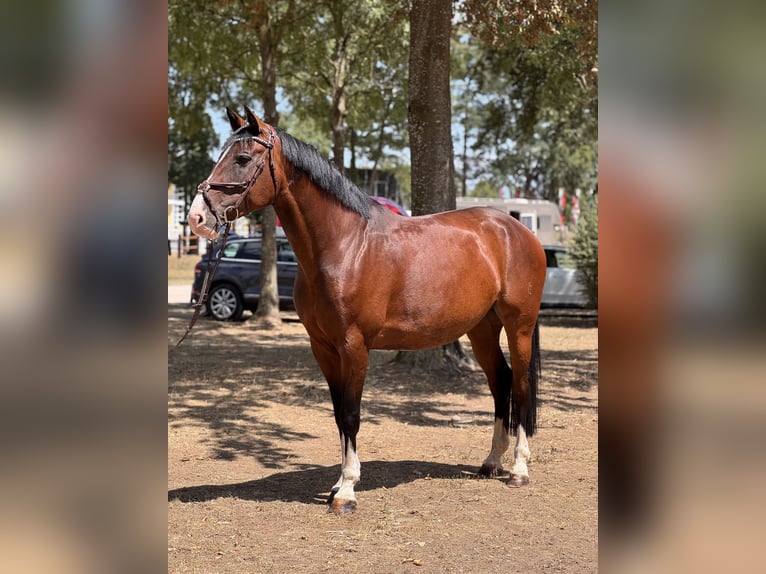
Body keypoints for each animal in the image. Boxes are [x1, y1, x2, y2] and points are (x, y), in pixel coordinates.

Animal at [188, 107, 546, 514]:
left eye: (243, 159)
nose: (197, 218)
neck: (345, 246)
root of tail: (517, 230)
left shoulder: (355, 346)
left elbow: (351, 413)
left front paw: (346, 491)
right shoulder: (323, 348)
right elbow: (338, 413)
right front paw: (338, 483)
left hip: (519, 326)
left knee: (520, 386)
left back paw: (518, 469)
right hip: (482, 328)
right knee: (500, 382)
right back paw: (490, 462)